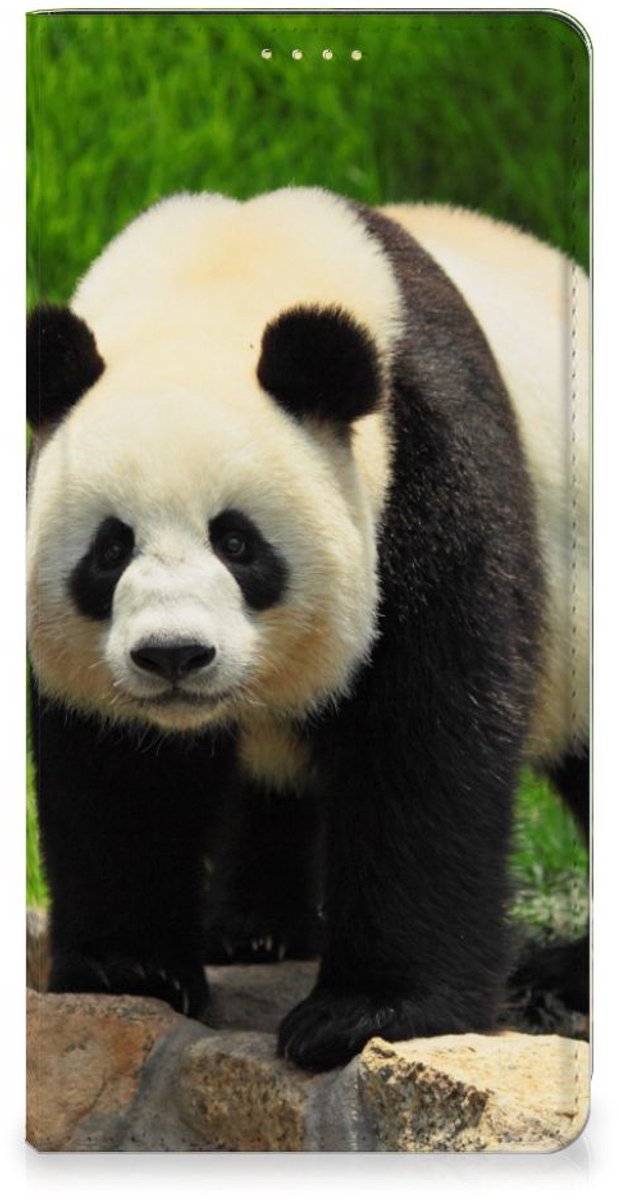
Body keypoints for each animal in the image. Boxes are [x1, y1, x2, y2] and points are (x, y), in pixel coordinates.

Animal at [26, 188, 589, 1071]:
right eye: (110, 549)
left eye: (237, 542)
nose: (174, 655)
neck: (219, 281)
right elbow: (117, 766)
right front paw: (129, 969)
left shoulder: (428, 468)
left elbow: (424, 737)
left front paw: (366, 1014)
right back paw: (254, 928)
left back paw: (564, 976)